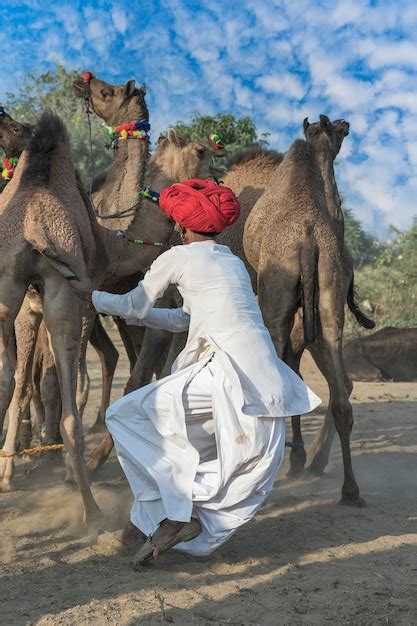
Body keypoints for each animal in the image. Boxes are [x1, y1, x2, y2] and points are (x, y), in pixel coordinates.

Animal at [242, 116, 372, 508]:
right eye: (340, 129)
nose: (347, 123)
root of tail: (309, 239)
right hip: (328, 303)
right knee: (340, 393)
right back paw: (348, 490)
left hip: (276, 299)